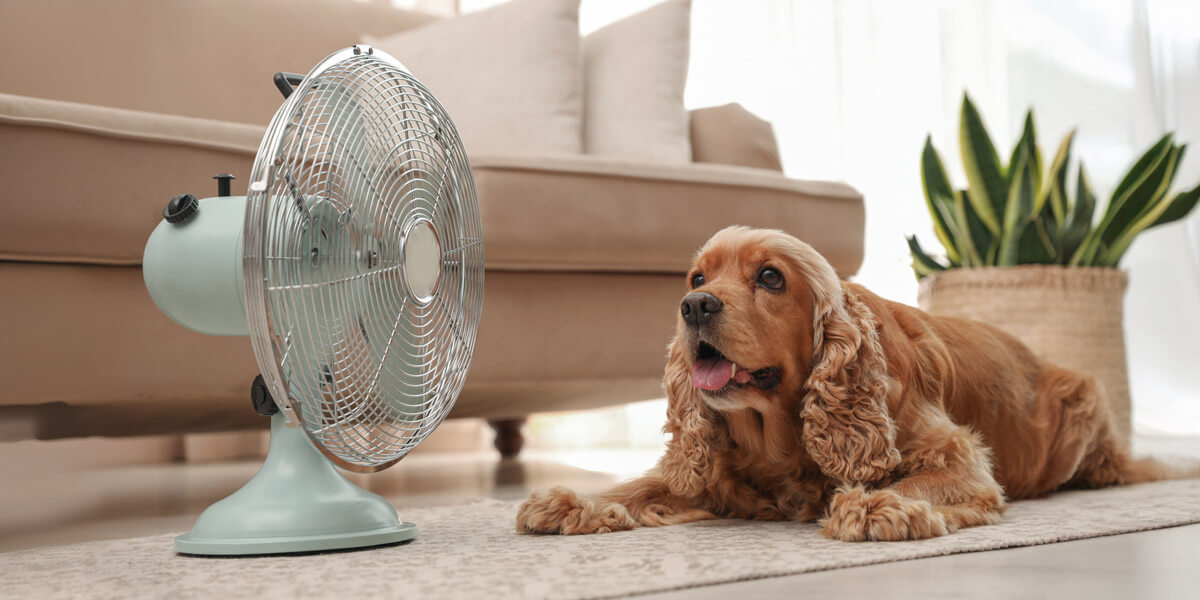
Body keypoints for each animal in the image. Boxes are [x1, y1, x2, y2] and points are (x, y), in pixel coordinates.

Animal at [516, 225, 1180, 544]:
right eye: (697, 277)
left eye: (770, 278)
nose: (694, 307)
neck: (779, 435)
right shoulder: (712, 473)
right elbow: (642, 486)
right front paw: (575, 502)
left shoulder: (957, 455)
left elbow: (923, 479)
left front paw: (877, 505)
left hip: (1084, 398)